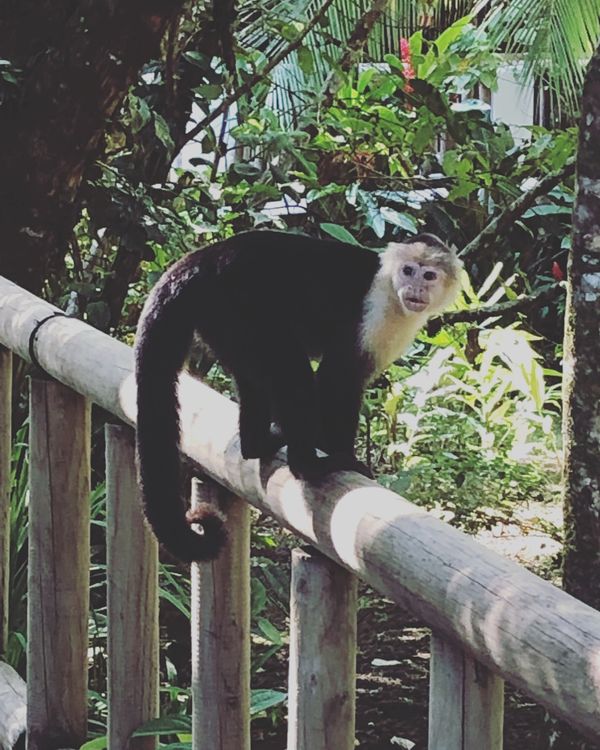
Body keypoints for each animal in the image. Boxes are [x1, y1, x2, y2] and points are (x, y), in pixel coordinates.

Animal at [134, 230, 462, 562]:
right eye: (408, 270)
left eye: (429, 275)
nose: (415, 287)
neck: (392, 293)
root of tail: (203, 258)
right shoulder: (374, 313)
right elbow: (336, 379)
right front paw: (342, 454)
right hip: (239, 303)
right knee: (292, 373)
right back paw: (308, 465)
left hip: (223, 320)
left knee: (255, 380)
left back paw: (258, 443)